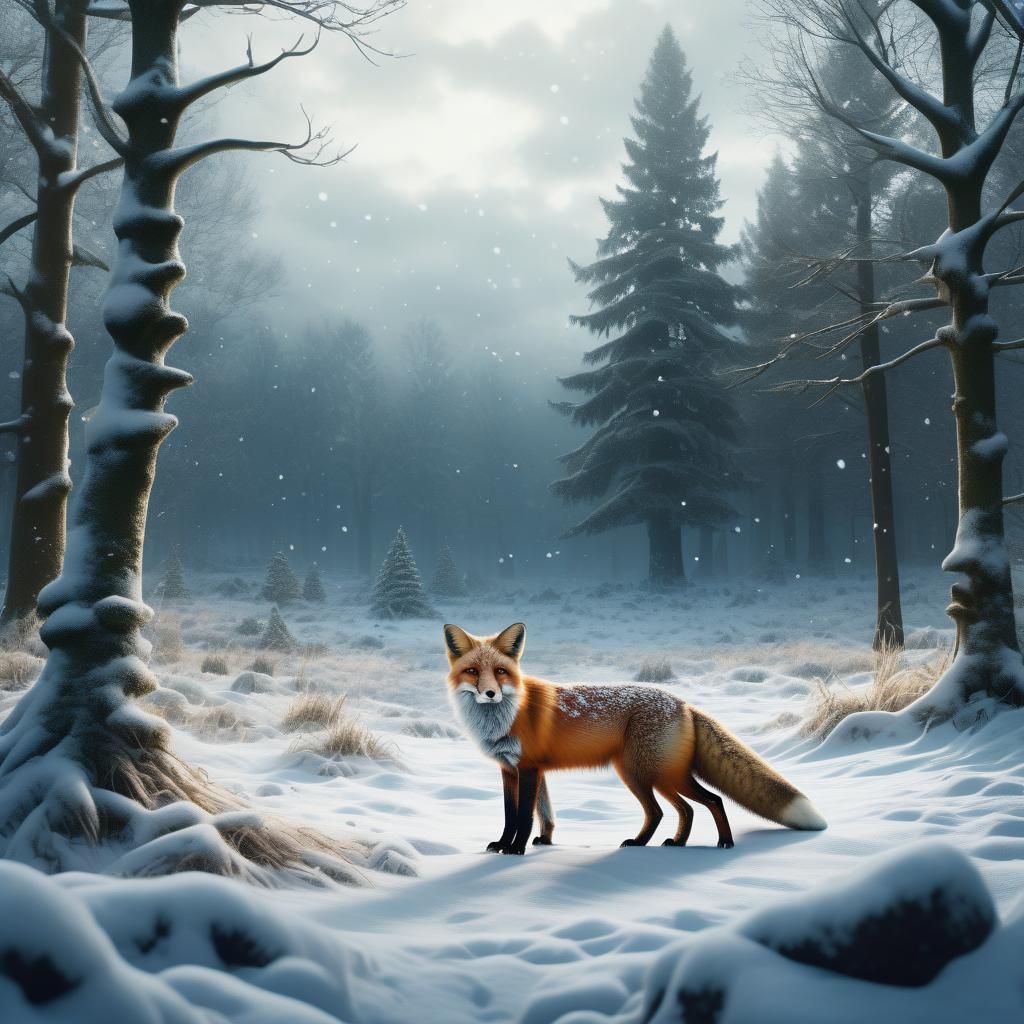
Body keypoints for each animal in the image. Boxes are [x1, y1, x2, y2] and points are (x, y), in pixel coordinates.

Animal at [444, 621, 826, 855]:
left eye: (501, 672)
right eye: (473, 671)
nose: (491, 694)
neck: (505, 716)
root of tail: (684, 703)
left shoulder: (528, 768)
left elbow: (523, 816)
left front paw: (517, 850)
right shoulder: (512, 770)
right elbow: (522, 814)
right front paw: (519, 843)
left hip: (649, 774)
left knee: (709, 801)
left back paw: (723, 844)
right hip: (652, 775)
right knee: (681, 809)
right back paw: (666, 843)